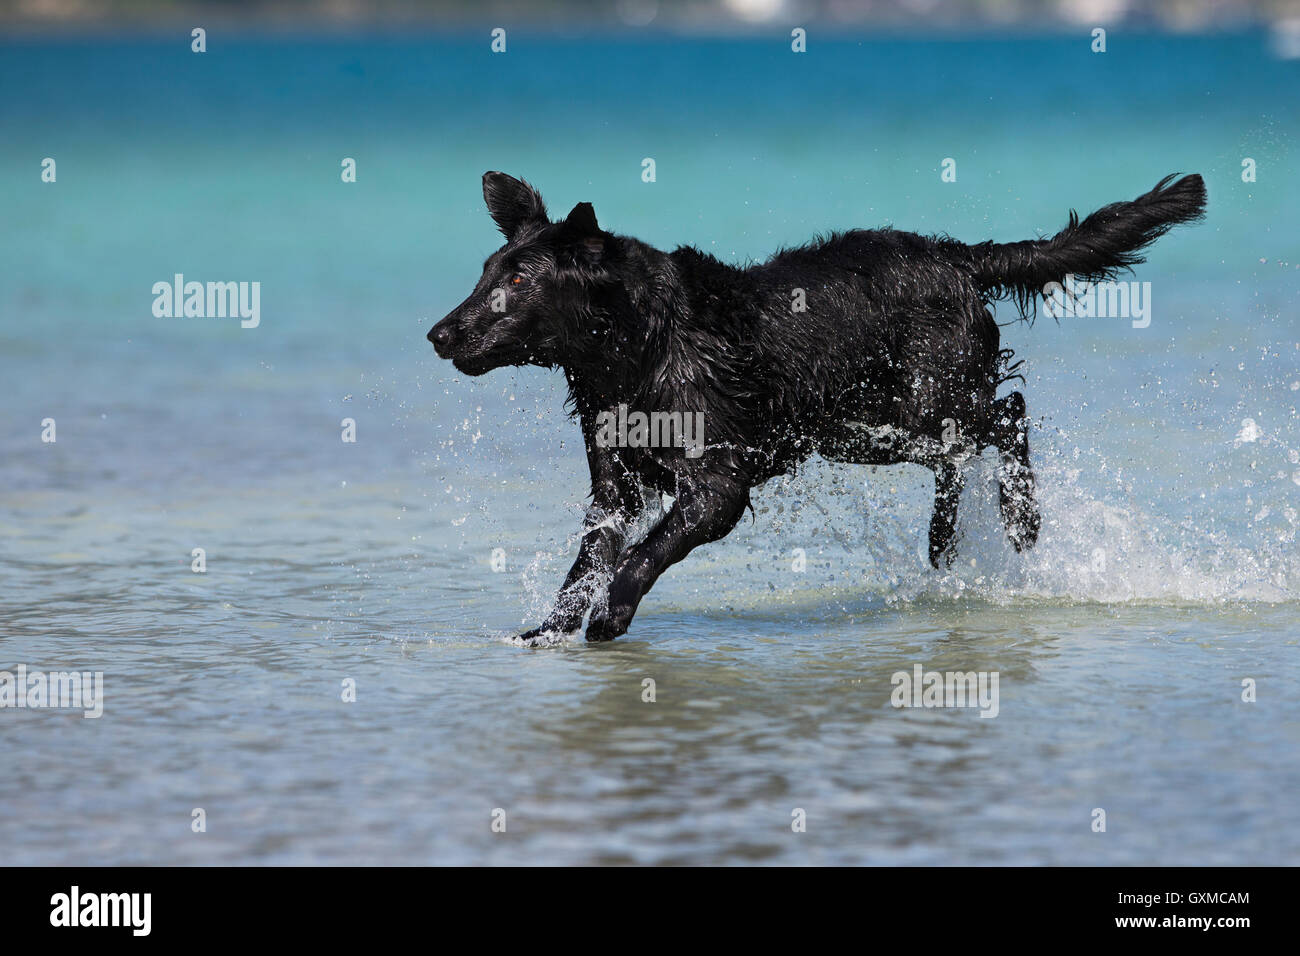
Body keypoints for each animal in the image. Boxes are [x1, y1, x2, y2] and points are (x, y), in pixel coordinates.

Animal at [428, 170, 1206, 642]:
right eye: (487, 272)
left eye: (519, 279)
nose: (439, 334)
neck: (637, 347)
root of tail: (958, 257)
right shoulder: (614, 482)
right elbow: (589, 555)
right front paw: (549, 627)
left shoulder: (718, 486)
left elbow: (646, 551)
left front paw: (612, 614)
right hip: (862, 428)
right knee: (959, 453)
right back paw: (942, 540)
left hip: (921, 402)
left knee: (1007, 417)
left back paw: (1021, 520)